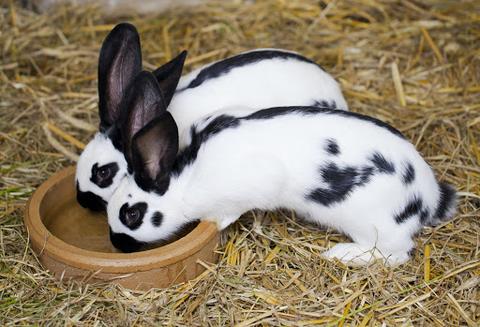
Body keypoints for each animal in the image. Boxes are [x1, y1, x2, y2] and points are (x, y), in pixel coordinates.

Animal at [106, 70, 458, 266]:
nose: (118, 244)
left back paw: (342, 255)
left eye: (131, 214)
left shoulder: (254, 183)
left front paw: (218, 222)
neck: (186, 181)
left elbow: (234, 208)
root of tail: (429, 196)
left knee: (397, 254)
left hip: (375, 225)